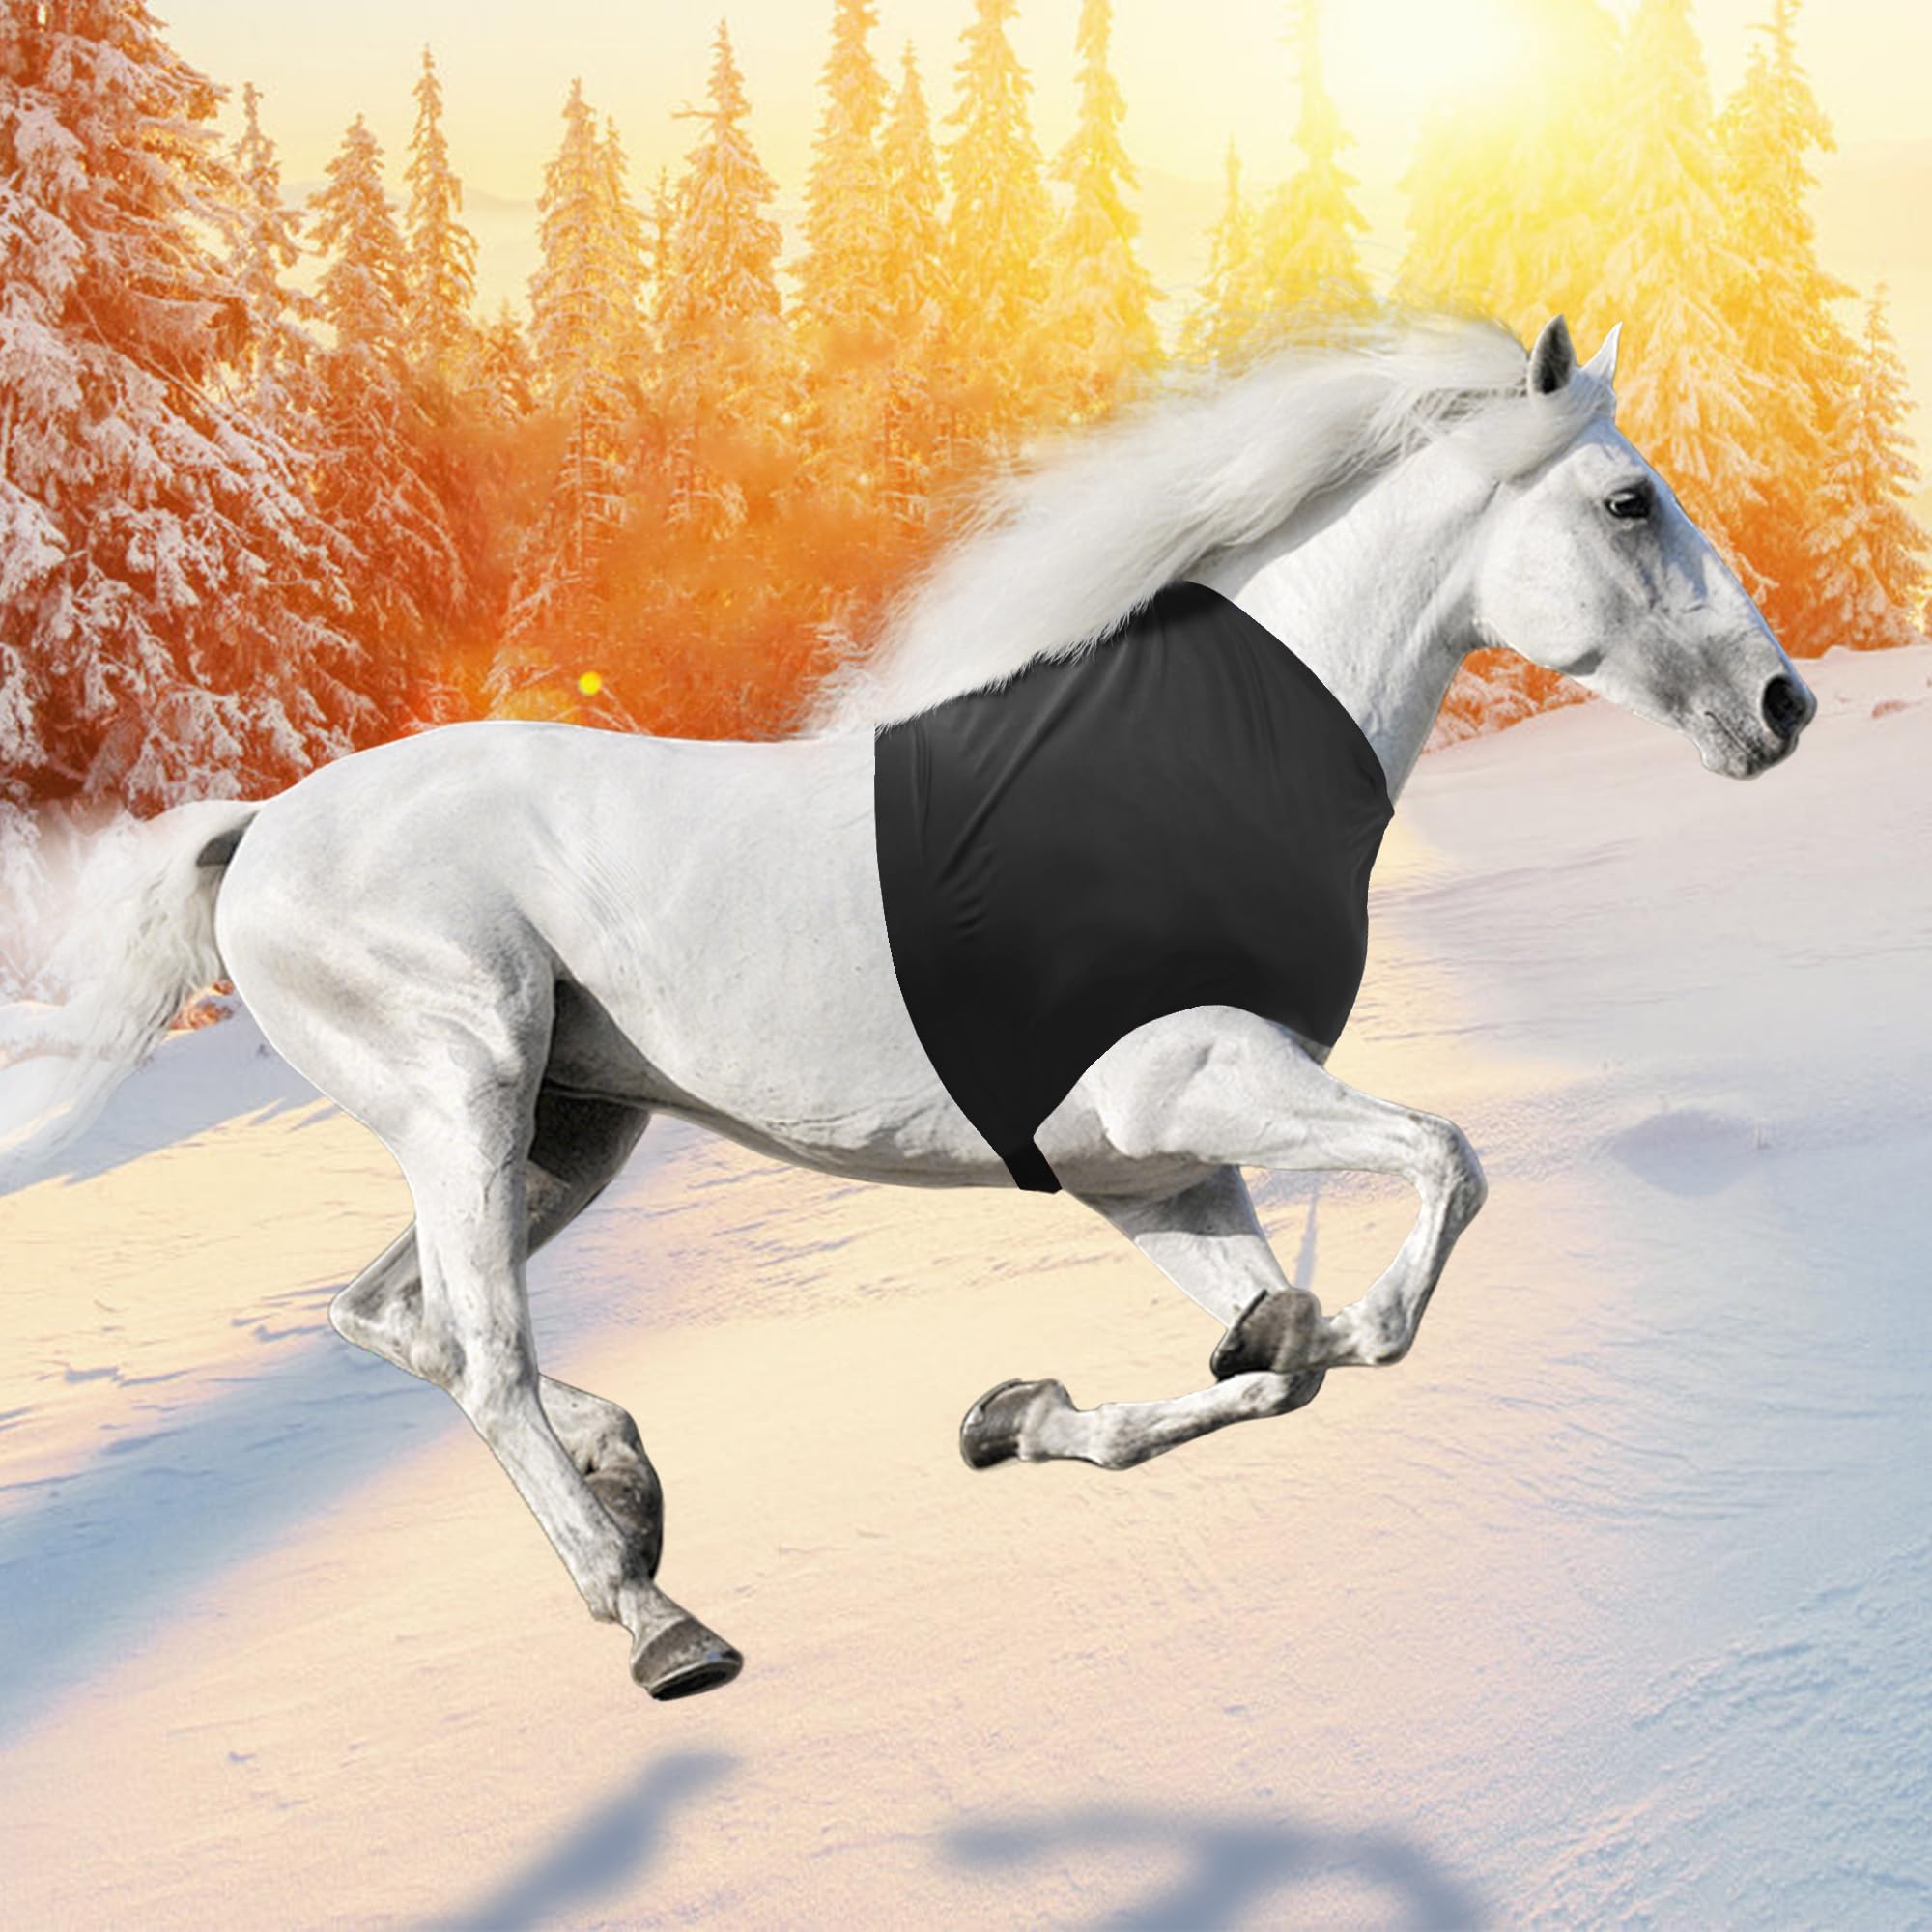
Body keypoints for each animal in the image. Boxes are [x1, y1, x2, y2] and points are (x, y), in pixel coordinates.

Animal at [0, 315, 1817, 1700]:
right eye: (1631, 500)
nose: (1785, 703)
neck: (1205, 767)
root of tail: (255, 831)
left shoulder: (1153, 1168)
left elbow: (1270, 1366)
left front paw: (1023, 1417)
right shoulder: (1187, 1088)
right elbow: (1440, 1176)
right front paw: (1305, 1330)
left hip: (568, 1130)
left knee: (398, 1319)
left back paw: (631, 1485)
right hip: (466, 1092)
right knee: (483, 1353)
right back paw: (656, 1619)